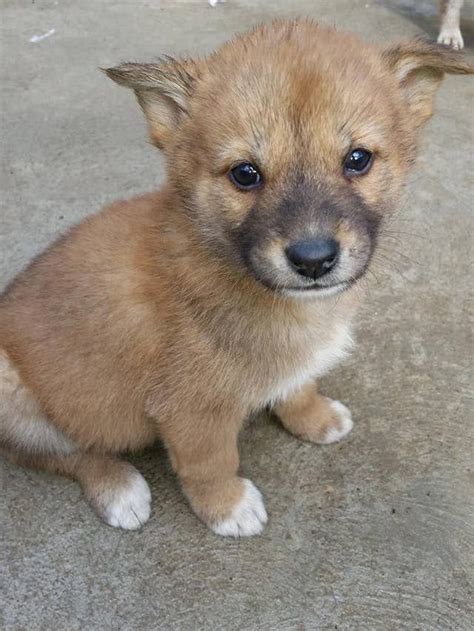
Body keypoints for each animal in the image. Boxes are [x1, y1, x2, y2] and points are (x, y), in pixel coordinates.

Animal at [0, 19, 472, 536]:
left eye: (358, 159)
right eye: (245, 173)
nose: (313, 260)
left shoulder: (289, 365)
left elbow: (298, 384)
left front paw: (315, 417)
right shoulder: (192, 411)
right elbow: (211, 463)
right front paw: (227, 507)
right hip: (14, 393)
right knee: (58, 454)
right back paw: (118, 488)